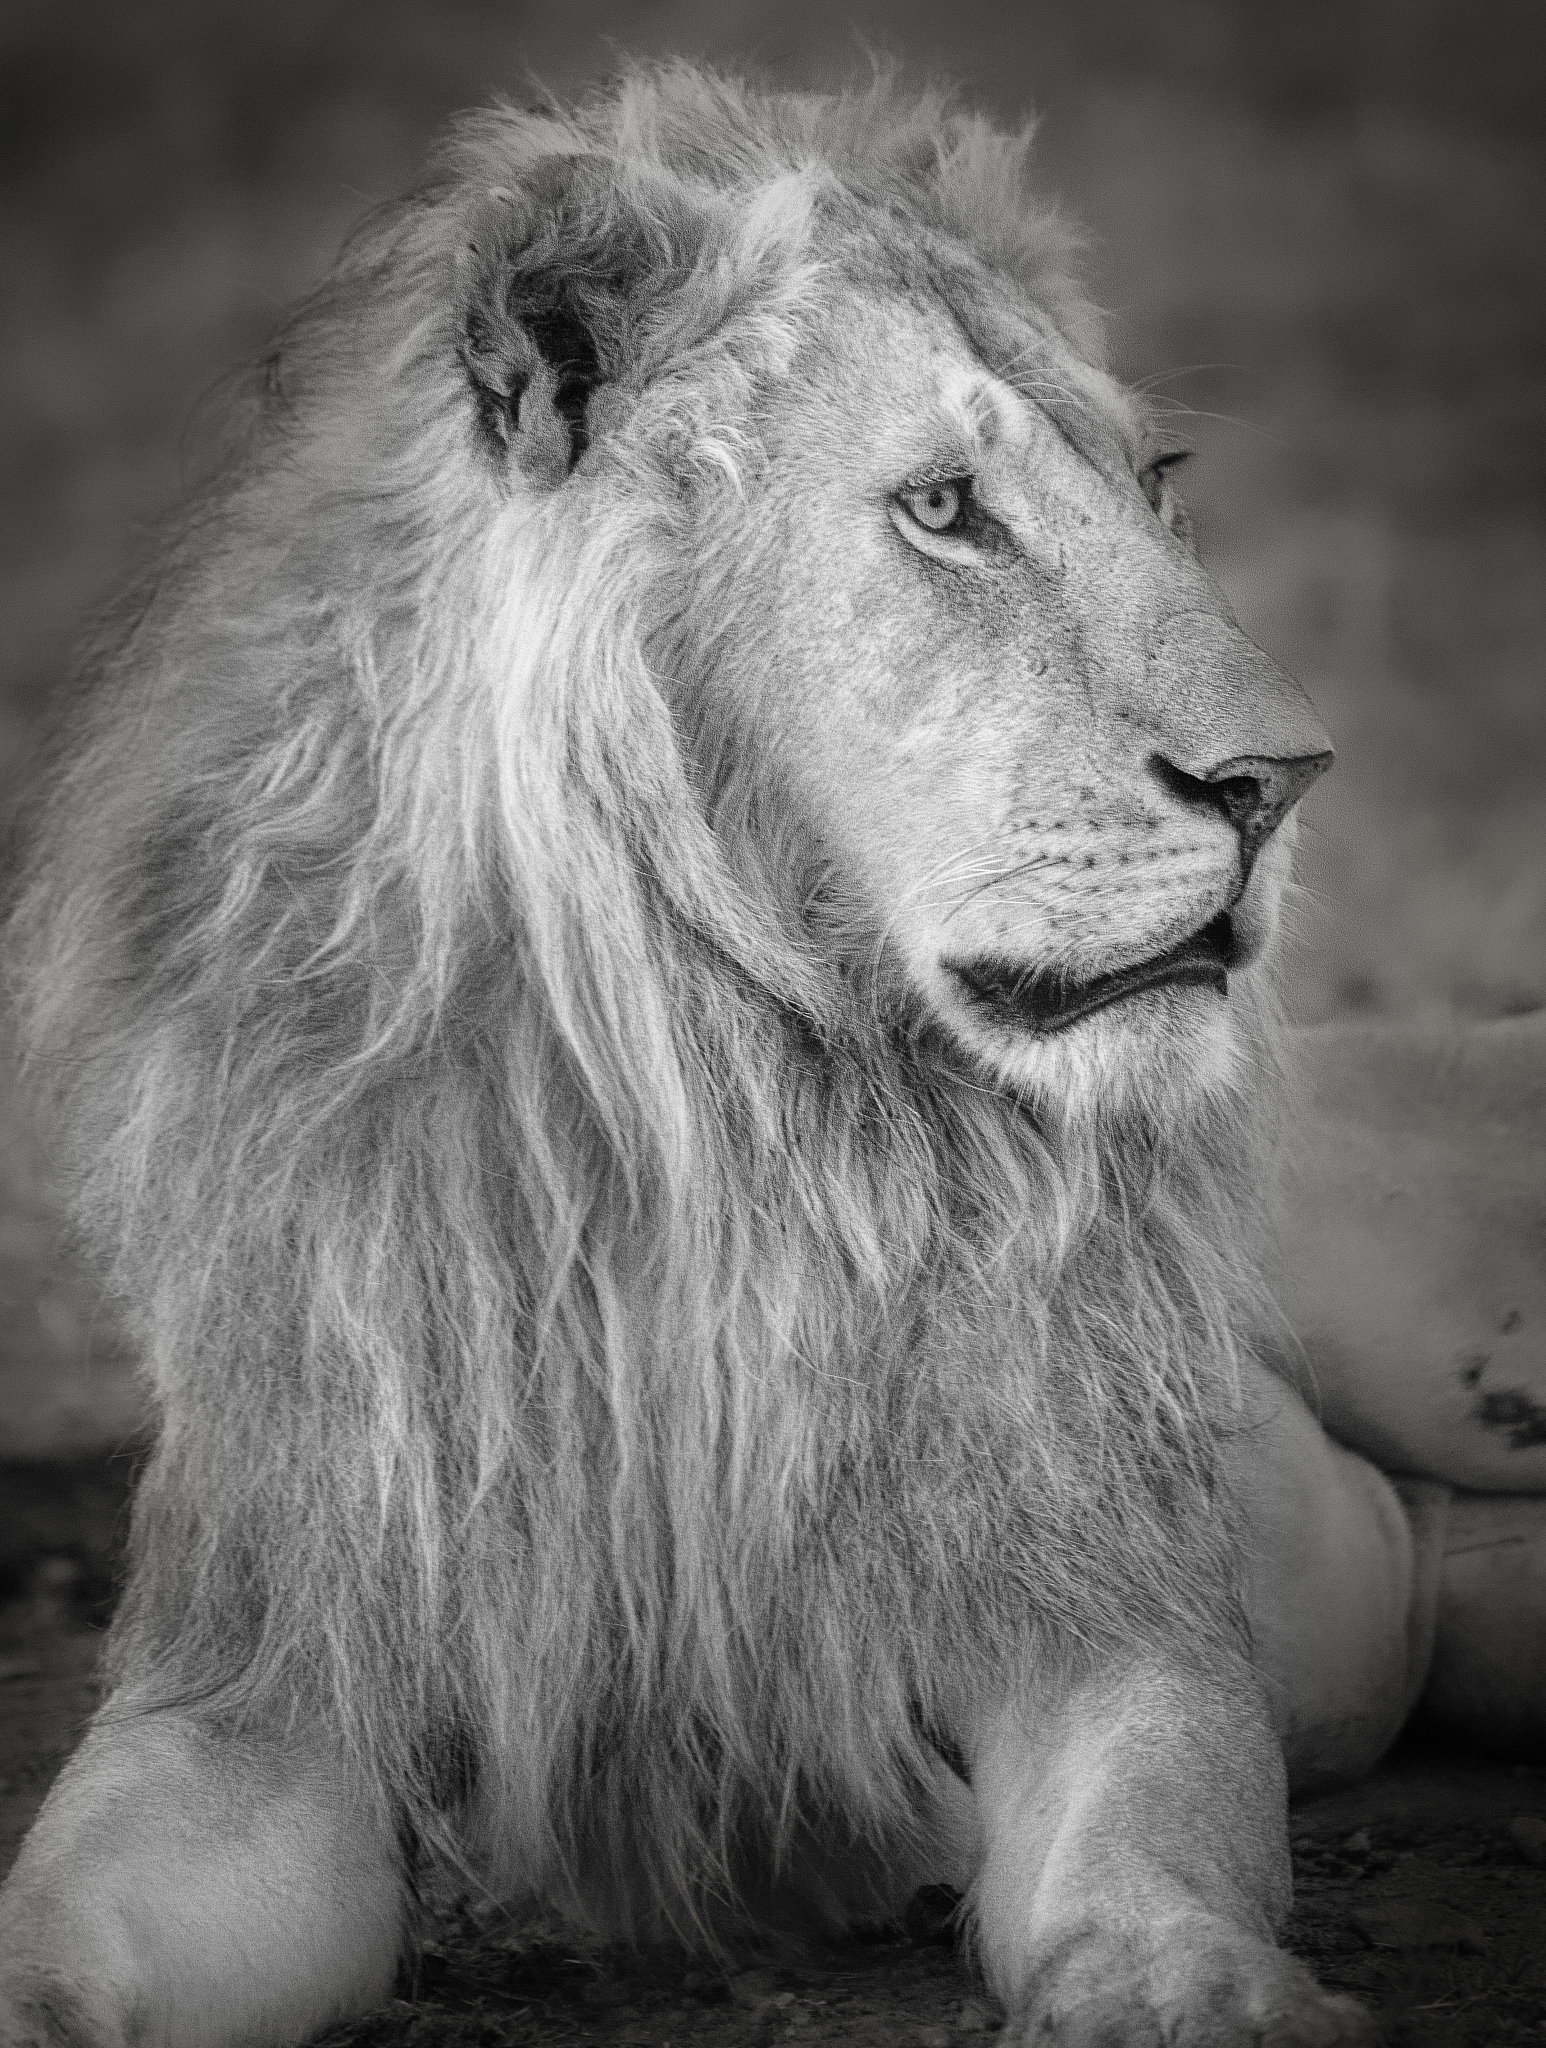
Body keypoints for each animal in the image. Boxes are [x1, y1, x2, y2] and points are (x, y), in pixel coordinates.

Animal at [2, 58, 1542, 2048]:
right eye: (946, 507)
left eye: (1156, 488)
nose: (1282, 780)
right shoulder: (264, 1678)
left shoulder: (1102, 1612)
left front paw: (1198, 1995)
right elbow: (57, 1936)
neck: (724, 1117)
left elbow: (1156, 1855)